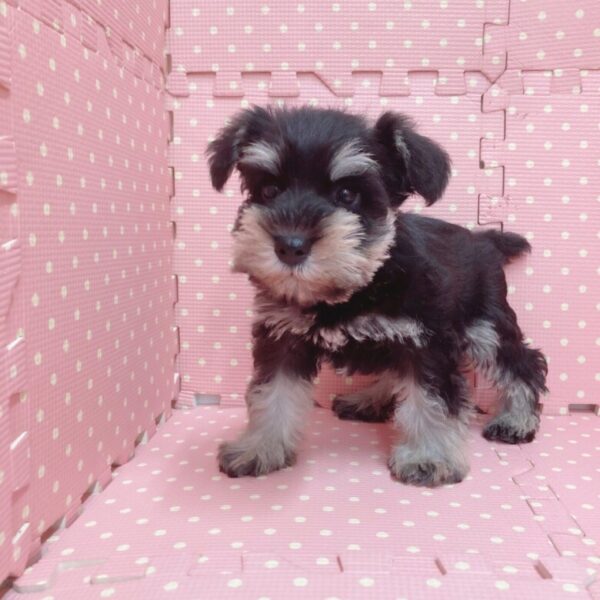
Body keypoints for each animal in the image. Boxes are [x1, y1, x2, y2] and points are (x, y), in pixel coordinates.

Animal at [207, 105, 548, 487]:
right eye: (268, 189)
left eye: (347, 194)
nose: (290, 246)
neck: (361, 282)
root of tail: (485, 241)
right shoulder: (283, 338)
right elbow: (270, 393)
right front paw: (259, 447)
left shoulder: (426, 344)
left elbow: (431, 401)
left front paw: (430, 458)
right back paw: (367, 400)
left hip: (486, 327)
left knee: (524, 364)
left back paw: (516, 420)